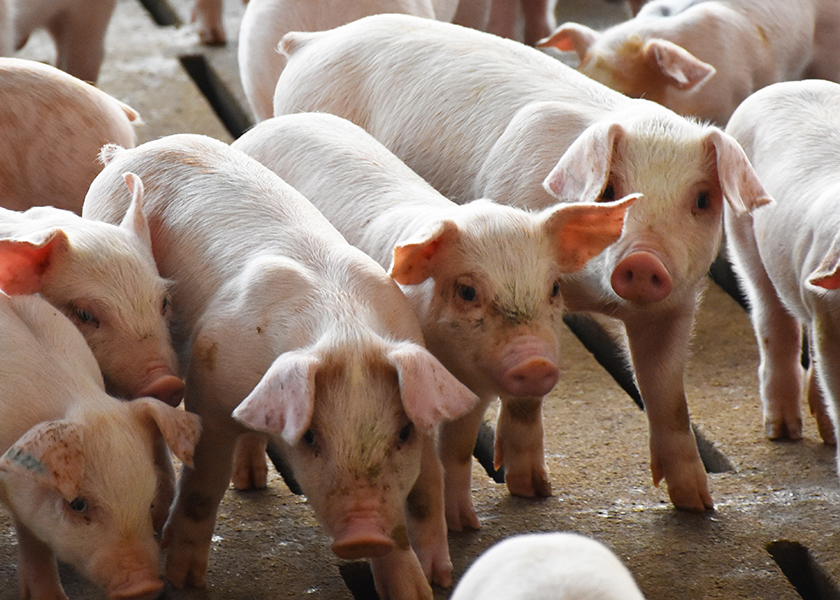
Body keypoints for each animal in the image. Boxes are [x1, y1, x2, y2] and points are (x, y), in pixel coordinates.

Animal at [81, 133, 480, 597]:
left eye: (402, 433)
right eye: (310, 437)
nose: (364, 534)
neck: (345, 332)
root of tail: (126, 153)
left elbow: (422, 493)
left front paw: (423, 588)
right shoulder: (208, 385)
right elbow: (202, 488)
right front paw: (185, 580)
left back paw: (252, 479)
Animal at [232, 112, 637, 530]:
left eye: (554, 287)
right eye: (467, 291)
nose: (536, 362)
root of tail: (275, 123)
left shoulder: (471, 391)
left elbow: (457, 451)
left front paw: (466, 526)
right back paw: (248, 486)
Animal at [272, 13, 772, 512]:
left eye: (702, 199)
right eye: (610, 190)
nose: (644, 262)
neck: (593, 297)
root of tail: (312, 41)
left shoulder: (676, 304)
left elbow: (669, 397)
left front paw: (698, 506)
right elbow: (527, 400)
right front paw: (532, 490)